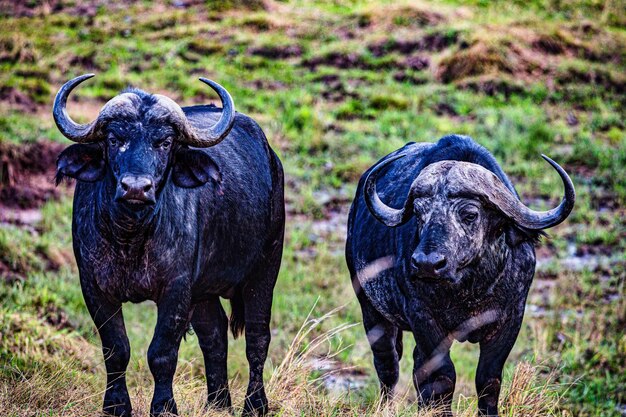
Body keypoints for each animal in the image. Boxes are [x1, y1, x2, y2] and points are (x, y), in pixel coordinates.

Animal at [53, 73, 282, 414]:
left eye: (164, 142)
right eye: (114, 139)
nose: (136, 187)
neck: (131, 237)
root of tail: (272, 160)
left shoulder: (176, 288)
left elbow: (162, 353)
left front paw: (163, 406)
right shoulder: (94, 286)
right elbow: (115, 349)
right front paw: (116, 406)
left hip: (265, 267)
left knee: (257, 337)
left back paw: (254, 405)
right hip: (204, 290)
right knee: (214, 335)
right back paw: (217, 403)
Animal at [344, 135, 572, 414]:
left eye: (470, 214)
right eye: (419, 213)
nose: (427, 264)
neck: (470, 289)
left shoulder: (511, 317)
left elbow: (488, 379)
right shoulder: (423, 317)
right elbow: (443, 376)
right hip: (371, 308)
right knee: (388, 364)